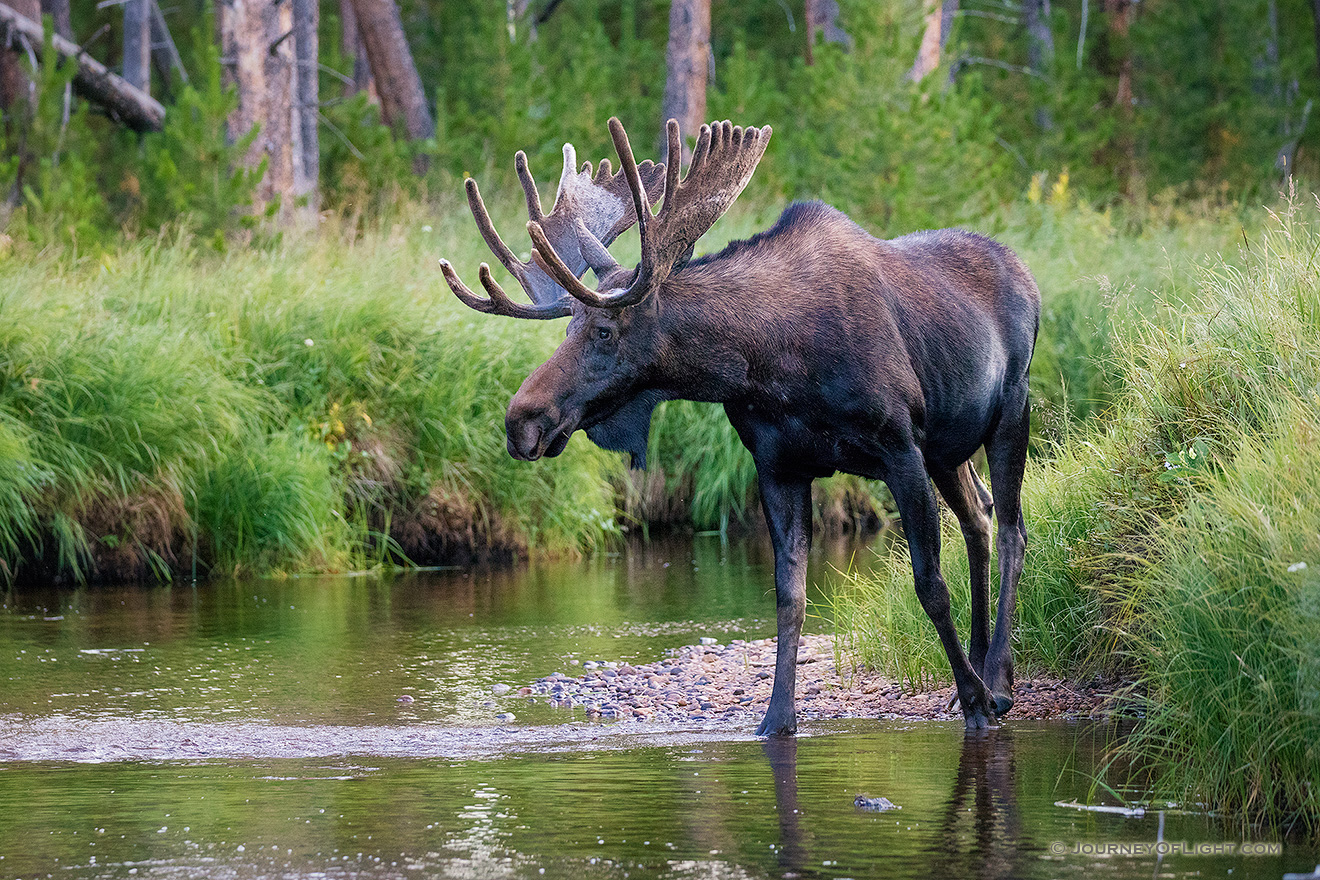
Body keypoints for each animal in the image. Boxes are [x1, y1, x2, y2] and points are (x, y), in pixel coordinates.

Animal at [443, 118, 1040, 738]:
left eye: (605, 330)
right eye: (567, 330)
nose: (520, 421)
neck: (768, 364)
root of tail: (1025, 272)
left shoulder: (899, 448)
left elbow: (929, 584)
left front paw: (975, 700)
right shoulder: (779, 466)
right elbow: (788, 597)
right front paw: (777, 719)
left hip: (1011, 408)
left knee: (1012, 528)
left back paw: (997, 678)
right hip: (949, 447)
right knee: (980, 516)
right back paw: (982, 662)